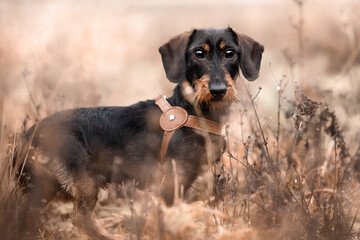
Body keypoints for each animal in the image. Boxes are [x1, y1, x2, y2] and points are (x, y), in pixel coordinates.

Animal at [14, 27, 262, 239]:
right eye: (198, 53)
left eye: (230, 53)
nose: (218, 90)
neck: (193, 110)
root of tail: (28, 136)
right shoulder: (173, 179)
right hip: (83, 179)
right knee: (79, 218)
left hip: (44, 184)